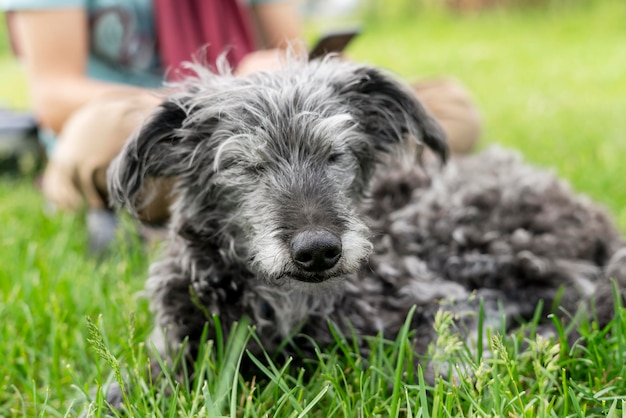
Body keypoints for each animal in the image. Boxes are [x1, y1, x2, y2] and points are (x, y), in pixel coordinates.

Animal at [105, 57, 620, 406]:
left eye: (336, 154)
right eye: (246, 165)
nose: (317, 250)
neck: (283, 300)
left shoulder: (441, 298)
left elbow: (444, 353)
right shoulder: (182, 343)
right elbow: (128, 389)